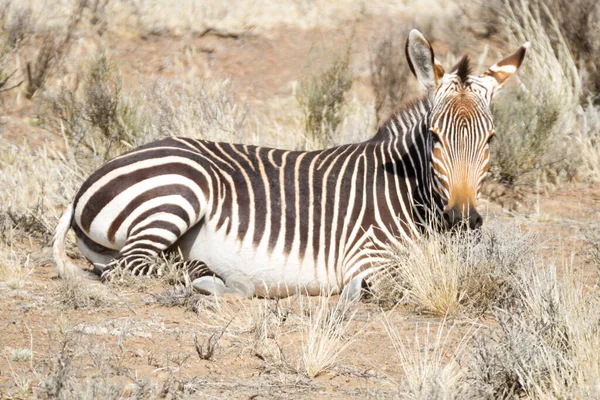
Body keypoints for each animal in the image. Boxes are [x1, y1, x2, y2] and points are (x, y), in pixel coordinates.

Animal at [52, 30, 528, 300]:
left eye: (490, 139)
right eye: (433, 137)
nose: (463, 220)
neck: (406, 191)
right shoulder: (365, 258)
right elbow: (395, 283)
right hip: (178, 192)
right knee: (130, 268)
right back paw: (220, 281)